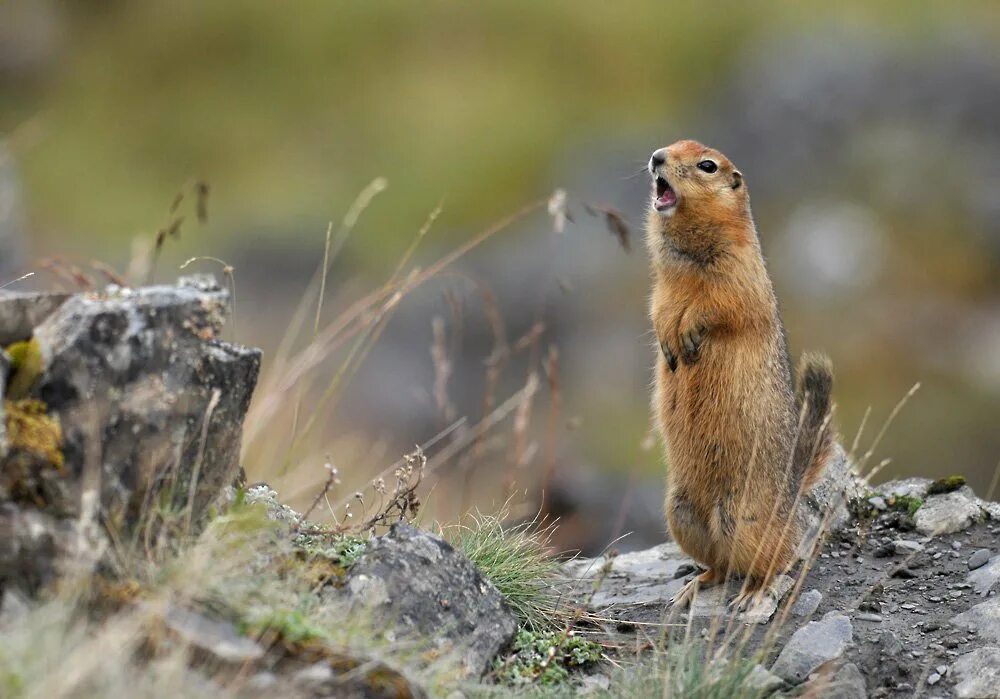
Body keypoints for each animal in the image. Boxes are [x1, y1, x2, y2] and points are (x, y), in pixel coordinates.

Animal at [644, 139, 832, 608]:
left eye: (708, 165)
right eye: (670, 144)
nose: (656, 156)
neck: (688, 258)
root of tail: (793, 490)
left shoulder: (738, 274)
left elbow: (720, 305)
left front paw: (689, 333)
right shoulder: (661, 286)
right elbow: (658, 308)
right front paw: (668, 341)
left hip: (744, 517)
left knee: (776, 558)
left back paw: (752, 593)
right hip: (681, 513)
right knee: (720, 563)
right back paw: (693, 586)